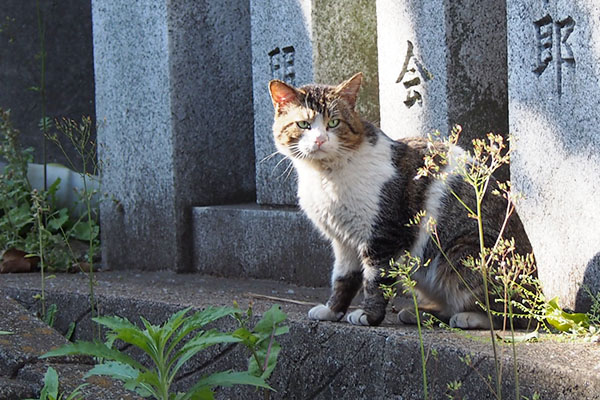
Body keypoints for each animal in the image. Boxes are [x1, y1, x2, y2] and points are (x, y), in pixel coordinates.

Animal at [270, 72, 532, 328]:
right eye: (303, 124)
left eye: (333, 123)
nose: (320, 140)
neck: (325, 174)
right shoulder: (344, 241)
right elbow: (343, 279)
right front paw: (332, 310)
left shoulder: (383, 235)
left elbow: (375, 280)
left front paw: (369, 316)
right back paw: (422, 315)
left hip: (463, 254)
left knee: (508, 314)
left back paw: (469, 318)